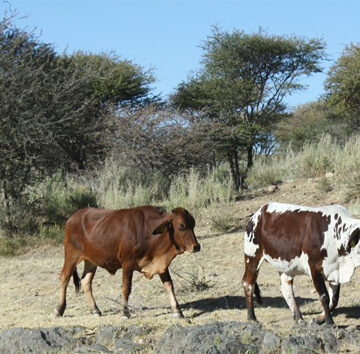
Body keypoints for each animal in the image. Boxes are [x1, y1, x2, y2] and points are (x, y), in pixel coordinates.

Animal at [54, 205, 200, 318]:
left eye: (193, 224)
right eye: (181, 226)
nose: (196, 246)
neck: (148, 233)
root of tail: (72, 217)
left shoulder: (161, 265)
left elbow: (169, 285)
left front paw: (177, 310)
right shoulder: (127, 264)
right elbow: (126, 288)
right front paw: (125, 312)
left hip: (91, 261)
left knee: (86, 282)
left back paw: (95, 310)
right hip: (71, 256)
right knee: (64, 277)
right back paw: (59, 309)